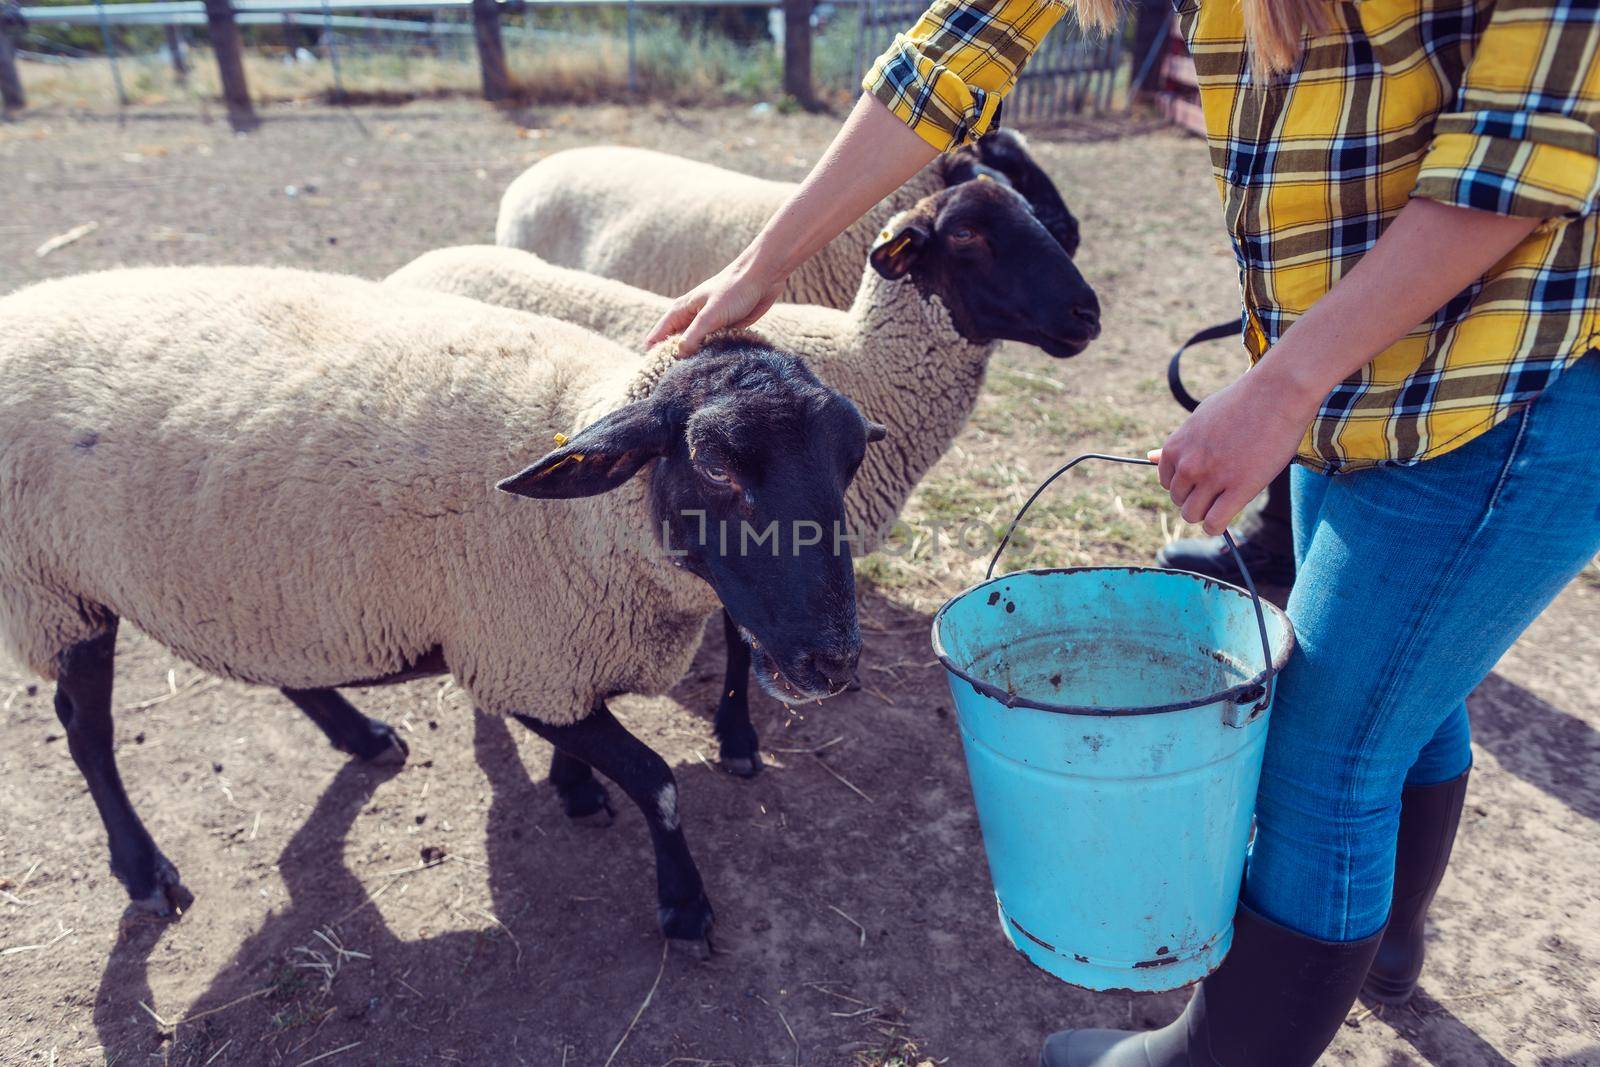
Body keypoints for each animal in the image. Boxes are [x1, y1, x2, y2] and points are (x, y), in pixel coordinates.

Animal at [0, 267, 889, 940]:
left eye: (850, 460)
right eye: (714, 466)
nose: (834, 661)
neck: (596, 521)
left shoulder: (551, 659)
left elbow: (604, 748)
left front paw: (576, 787)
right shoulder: (519, 659)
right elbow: (659, 781)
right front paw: (684, 906)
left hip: (261, 578)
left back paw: (361, 736)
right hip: (54, 588)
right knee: (87, 732)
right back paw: (144, 872)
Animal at [388, 175, 1100, 777]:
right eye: (967, 235)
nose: (1087, 314)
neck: (864, 355)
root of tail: (428, 260)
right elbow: (736, 641)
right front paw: (735, 735)